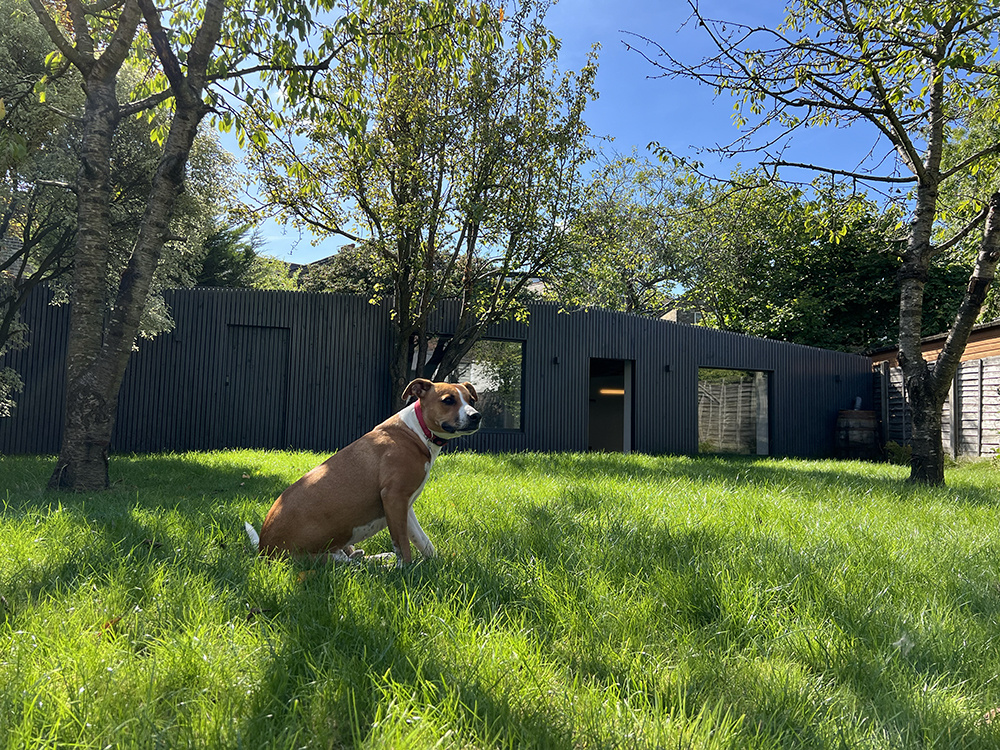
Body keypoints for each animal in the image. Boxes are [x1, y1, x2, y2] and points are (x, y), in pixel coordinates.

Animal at [241, 378, 476, 568]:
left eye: (471, 400)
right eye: (448, 400)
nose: (477, 415)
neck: (416, 431)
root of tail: (263, 549)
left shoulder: (404, 506)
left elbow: (423, 541)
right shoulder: (394, 498)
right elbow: (403, 544)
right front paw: (406, 570)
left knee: (358, 558)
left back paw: (380, 558)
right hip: (322, 558)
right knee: (352, 565)